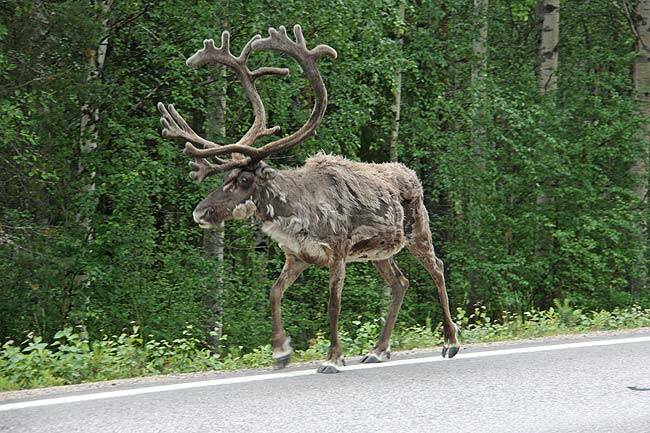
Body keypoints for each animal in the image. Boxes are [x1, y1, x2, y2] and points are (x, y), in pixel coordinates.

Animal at [157, 25, 460, 374]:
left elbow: (333, 304)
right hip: (379, 252)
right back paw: (378, 350)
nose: (200, 212)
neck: (295, 217)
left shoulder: (338, 252)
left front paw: (332, 358)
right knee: (400, 282)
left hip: (417, 232)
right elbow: (274, 292)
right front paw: (280, 351)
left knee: (437, 269)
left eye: (244, 180)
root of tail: (412, 175)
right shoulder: (296, 256)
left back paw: (450, 342)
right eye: (225, 179)